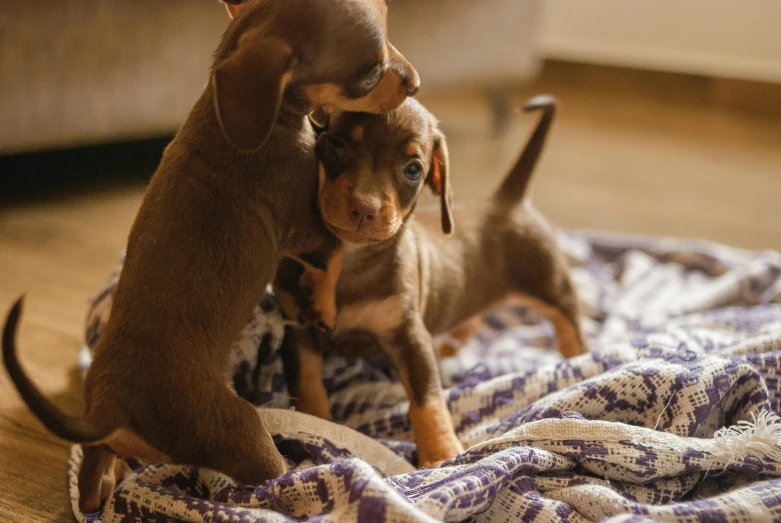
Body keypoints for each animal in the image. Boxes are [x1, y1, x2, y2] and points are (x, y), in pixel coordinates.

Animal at [1, 0, 420, 516]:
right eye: (370, 74)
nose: (415, 82)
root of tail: (111, 407)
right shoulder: (306, 227)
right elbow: (334, 254)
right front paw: (322, 306)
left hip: (110, 447)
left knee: (94, 474)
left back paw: (104, 488)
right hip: (242, 431)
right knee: (268, 482)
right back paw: (307, 475)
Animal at [274, 96, 584, 468]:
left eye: (412, 169)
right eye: (336, 144)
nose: (365, 208)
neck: (348, 261)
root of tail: (508, 199)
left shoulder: (409, 336)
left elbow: (427, 400)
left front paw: (440, 454)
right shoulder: (298, 331)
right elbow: (307, 386)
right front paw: (316, 430)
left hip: (550, 287)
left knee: (569, 325)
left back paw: (581, 359)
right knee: (471, 317)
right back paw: (448, 348)